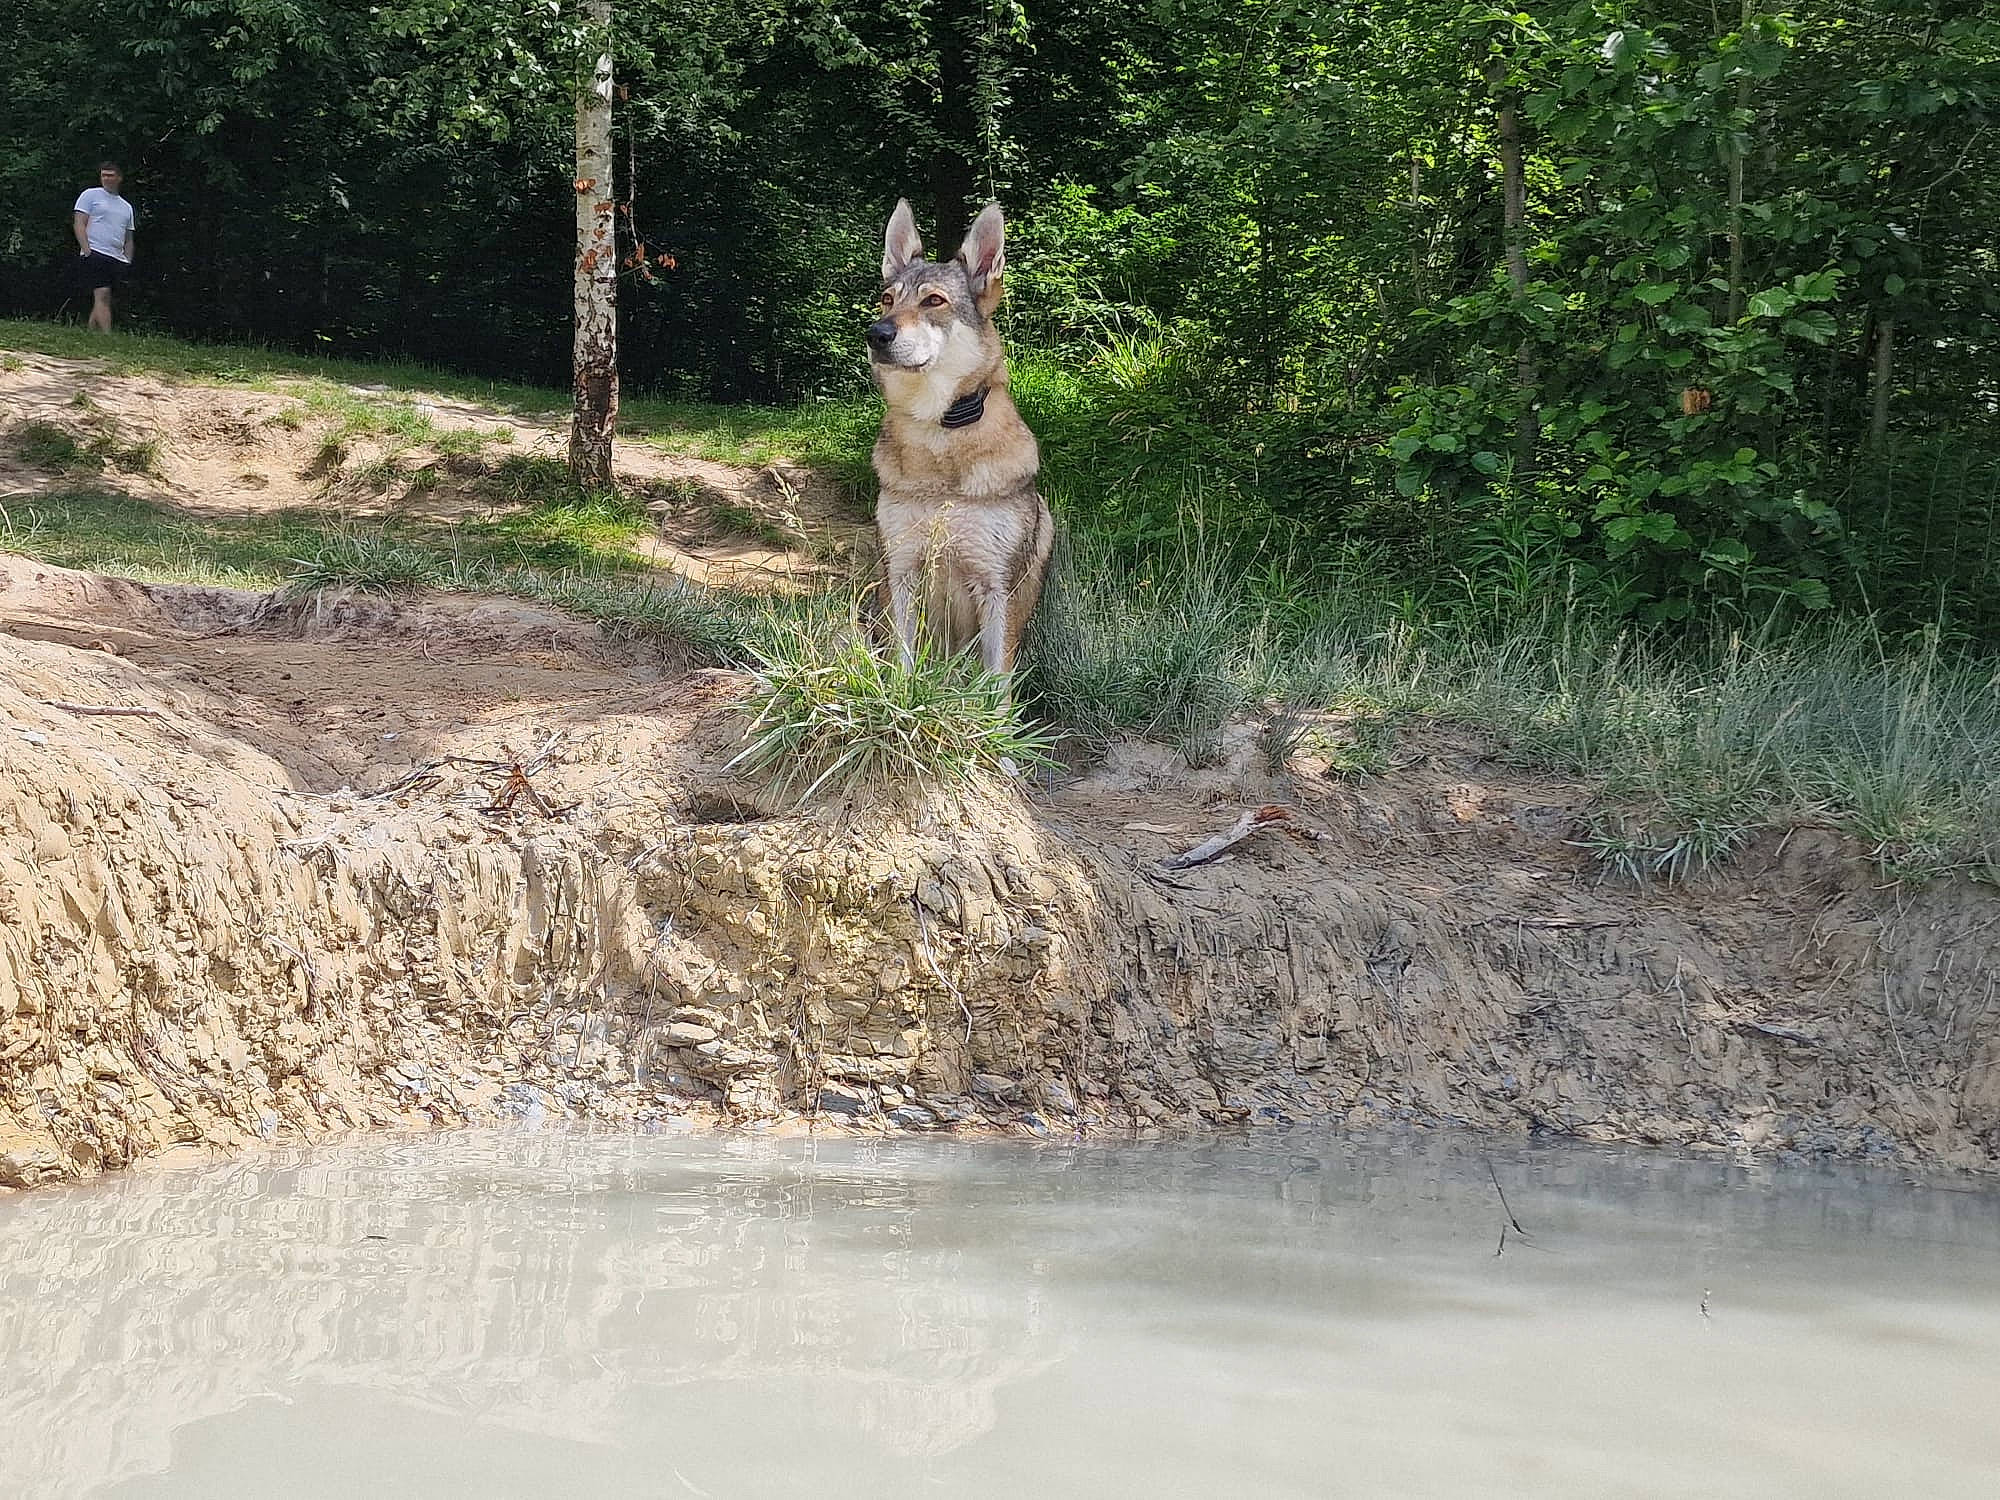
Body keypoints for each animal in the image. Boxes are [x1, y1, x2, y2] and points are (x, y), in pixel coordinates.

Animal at [865, 198, 1053, 687]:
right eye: (888, 300)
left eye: (934, 300)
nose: (877, 334)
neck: (939, 431)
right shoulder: (902, 575)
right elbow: (903, 666)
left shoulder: (997, 590)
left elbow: (996, 685)